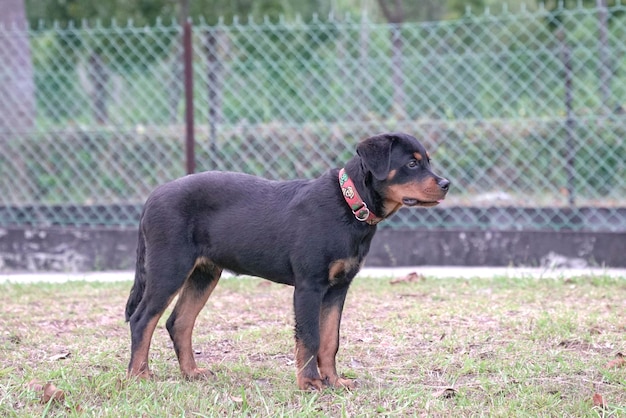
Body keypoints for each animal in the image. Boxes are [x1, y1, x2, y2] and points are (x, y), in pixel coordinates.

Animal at [124, 132, 448, 390]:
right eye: (411, 164)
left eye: (427, 161)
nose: (446, 183)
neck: (349, 204)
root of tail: (150, 199)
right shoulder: (309, 286)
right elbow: (309, 337)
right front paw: (310, 383)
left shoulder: (338, 287)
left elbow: (330, 340)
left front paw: (335, 381)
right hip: (170, 267)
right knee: (142, 319)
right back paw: (138, 376)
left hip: (204, 273)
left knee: (178, 322)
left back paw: (192, 372)